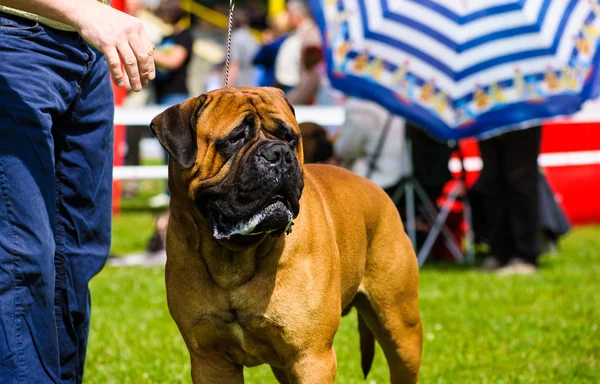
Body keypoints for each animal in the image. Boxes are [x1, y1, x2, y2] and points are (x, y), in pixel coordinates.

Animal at [150, 88, 422, 384]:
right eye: (235, 138)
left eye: (290, 138)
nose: (279, 153)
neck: (235, 258)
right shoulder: (210, 361)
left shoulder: (311, 357)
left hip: (401, 329)